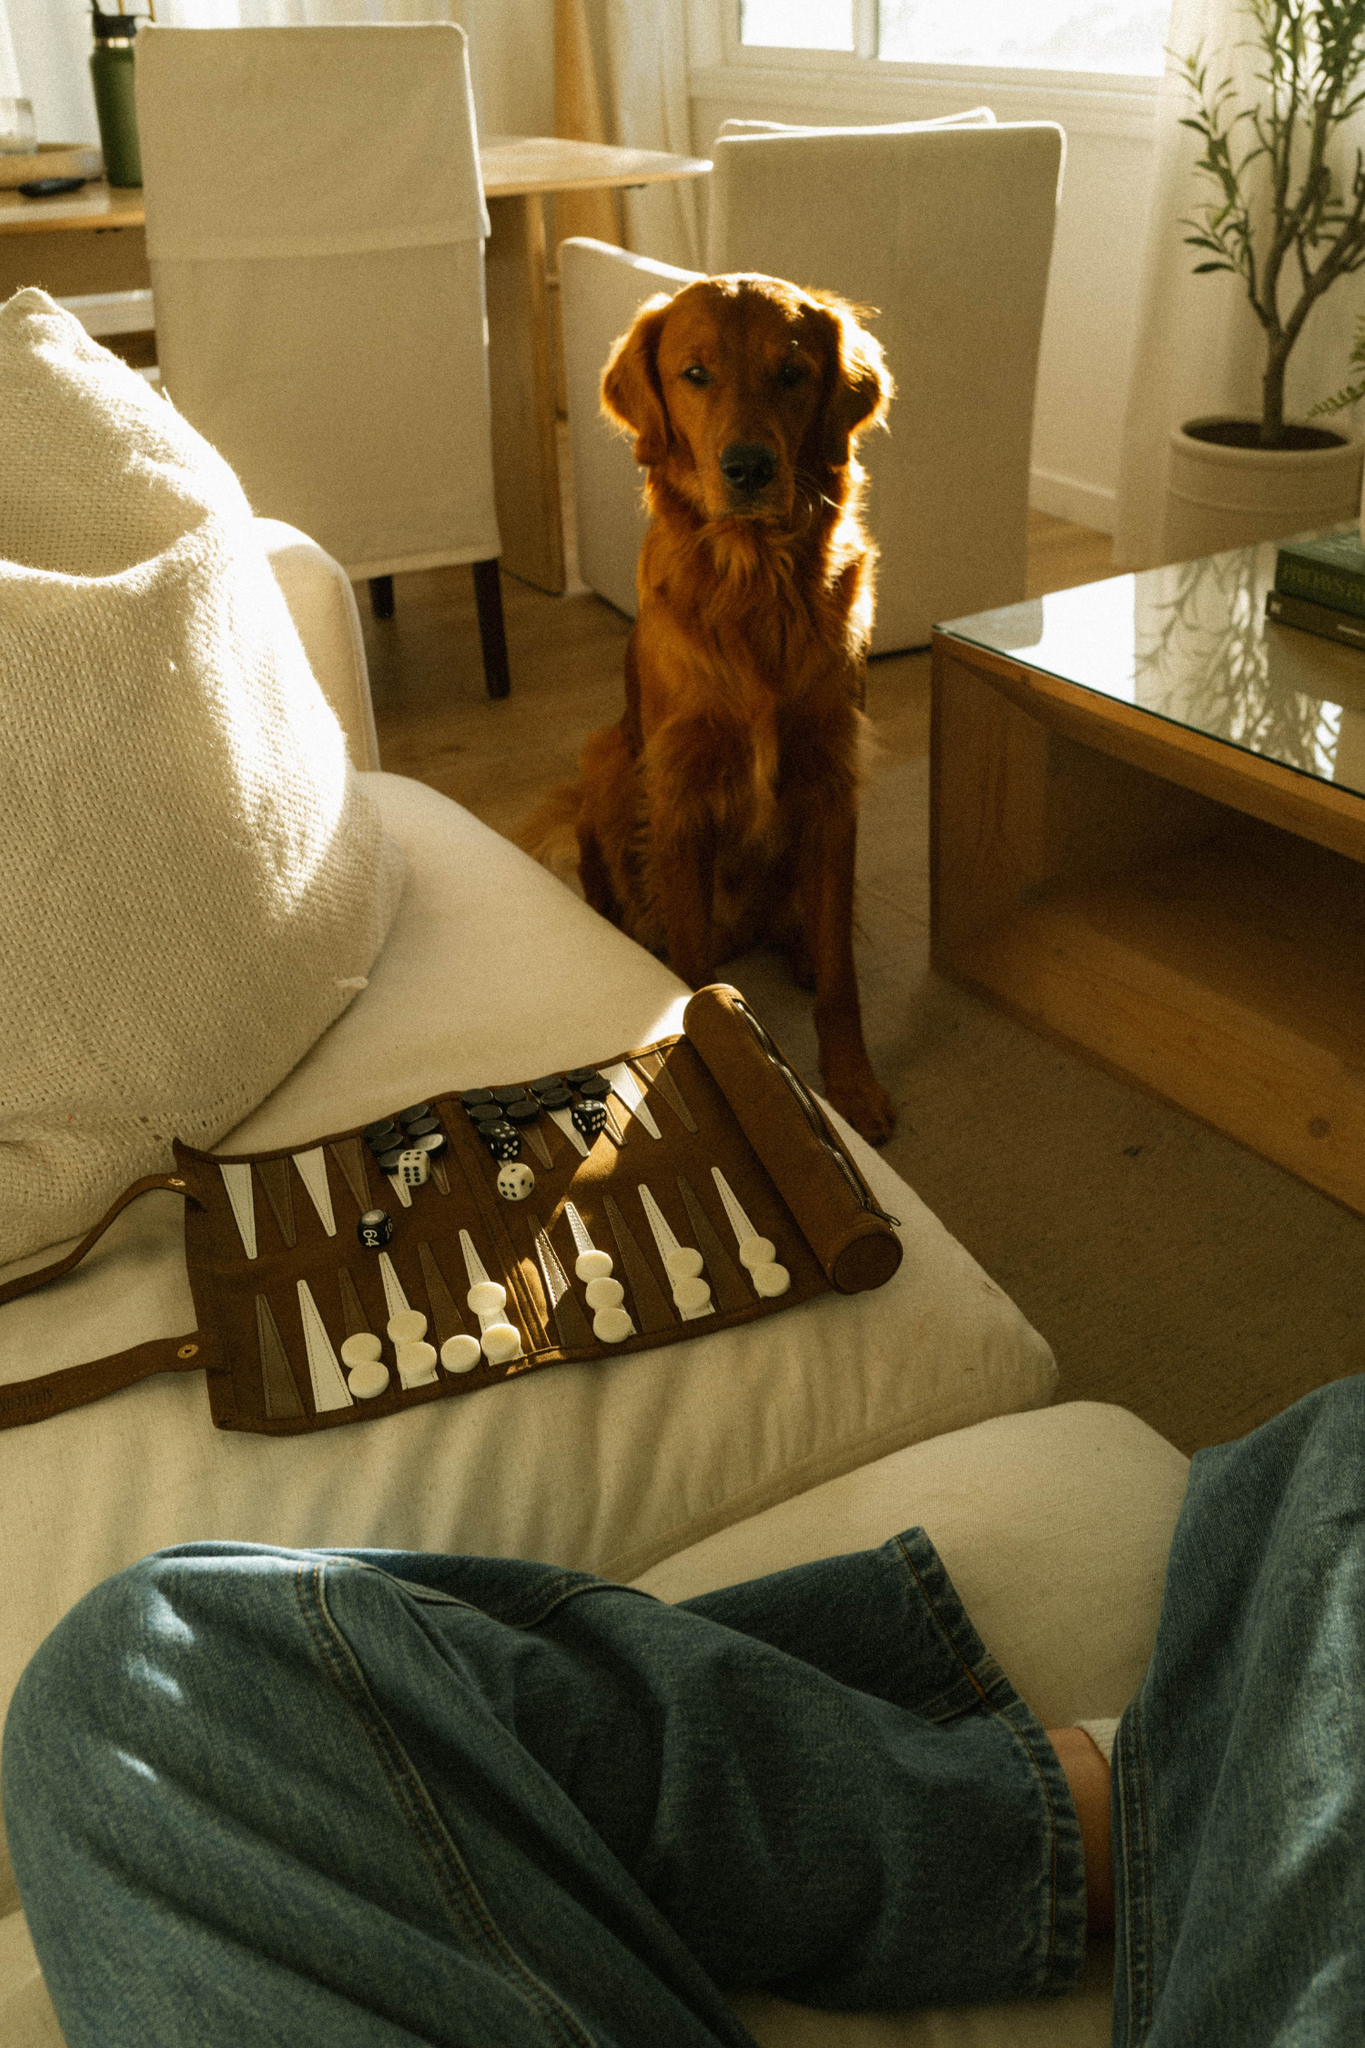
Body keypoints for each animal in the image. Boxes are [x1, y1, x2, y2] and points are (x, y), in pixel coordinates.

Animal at [523, 268, 896, 1155]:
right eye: (693, 375)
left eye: (791, 374)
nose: (749, 467)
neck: (756, 580)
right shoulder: (679, 786)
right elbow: (689, 957)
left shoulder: (832, 775)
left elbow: (841, 970)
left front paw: (852, 1089)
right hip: (605, 755)